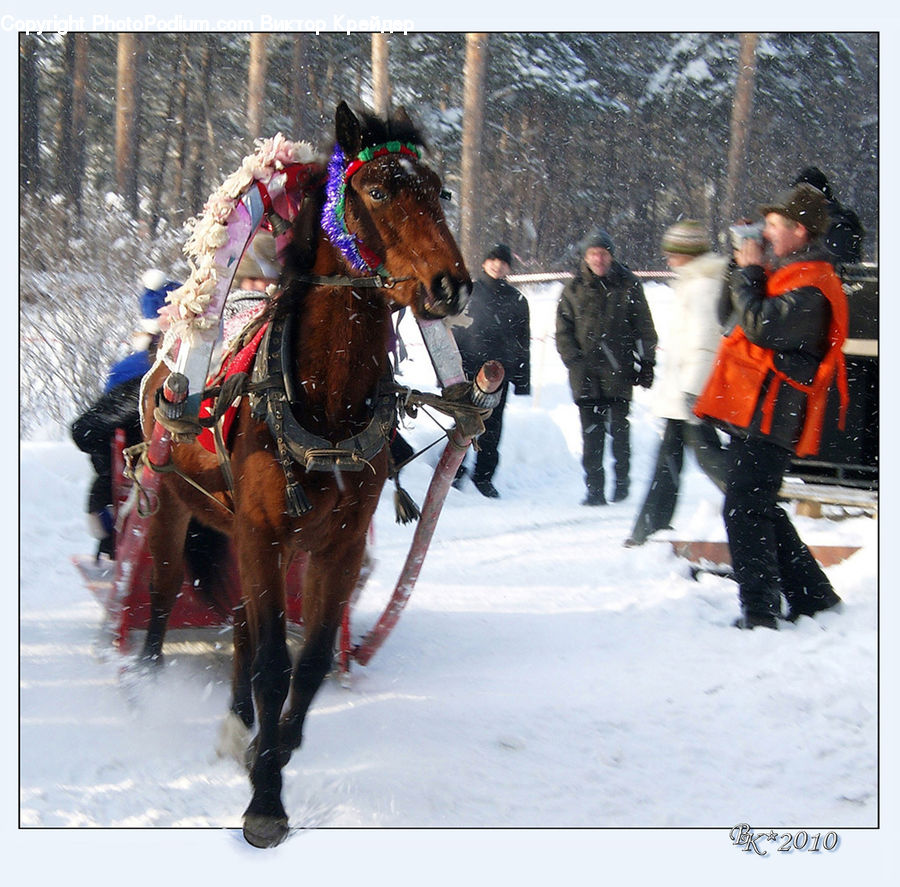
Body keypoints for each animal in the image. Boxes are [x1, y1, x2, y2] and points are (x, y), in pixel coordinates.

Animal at [138, 102, 471, 847]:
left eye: (440, 190)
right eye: (377, 189)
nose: (453, 286)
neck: (326, 404)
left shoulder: (334, 545)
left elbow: (310, 662)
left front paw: (276, 750)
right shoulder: (263, 533)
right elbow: (274, 661)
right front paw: (265, 797)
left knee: (238, 621)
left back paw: (241, 724)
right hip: (177, 504)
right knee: (166, 593)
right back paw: (141, 678)